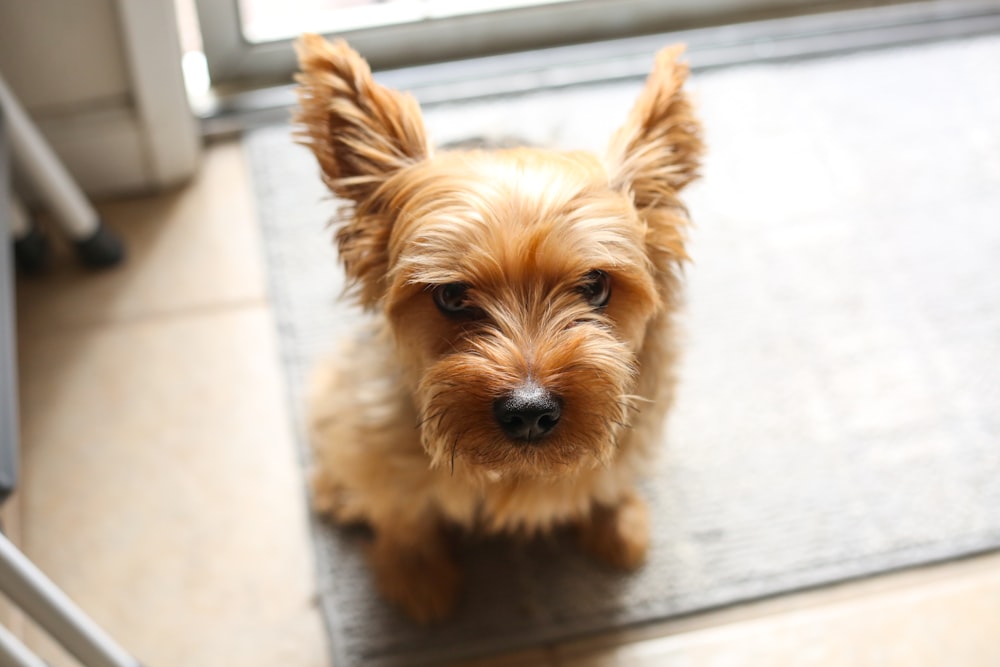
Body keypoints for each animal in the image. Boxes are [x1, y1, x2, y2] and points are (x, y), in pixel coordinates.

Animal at [294, 34, 704, 624]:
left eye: (595, 285)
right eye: (450, 296)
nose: (530, 412)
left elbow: (611, 474)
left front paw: (615, 519)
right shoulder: (373, 431)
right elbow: (402, 508)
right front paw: (417, 575)